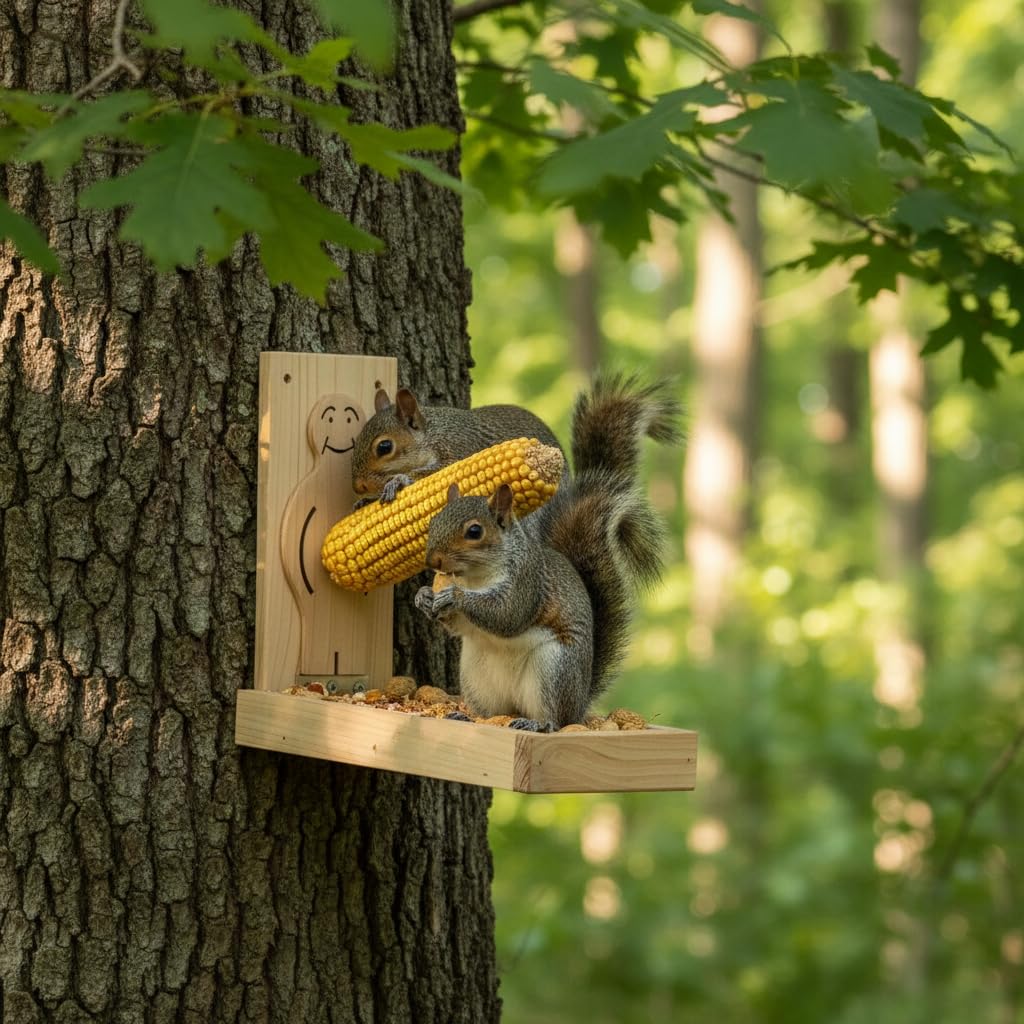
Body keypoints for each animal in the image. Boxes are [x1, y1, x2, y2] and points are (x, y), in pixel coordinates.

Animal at [350, 387, 564, 505]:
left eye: (384, 447)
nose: (358, 487)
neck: (433, 435)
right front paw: (366, 499)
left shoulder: (457, 449)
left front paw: (398, 479)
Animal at [413, 375, 681, 729]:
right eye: (434, 520)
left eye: (474, 531)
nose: (433, 560)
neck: (475, 577)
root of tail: (581, 702)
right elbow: (459, 625)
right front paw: (423, 597)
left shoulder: (528, 581)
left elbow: (507, 614)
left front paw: (454, 597)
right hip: (476, 675)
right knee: (494, 711)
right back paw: (466, 715)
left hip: (554, 670)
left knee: (557, 717)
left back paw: (538, 724)